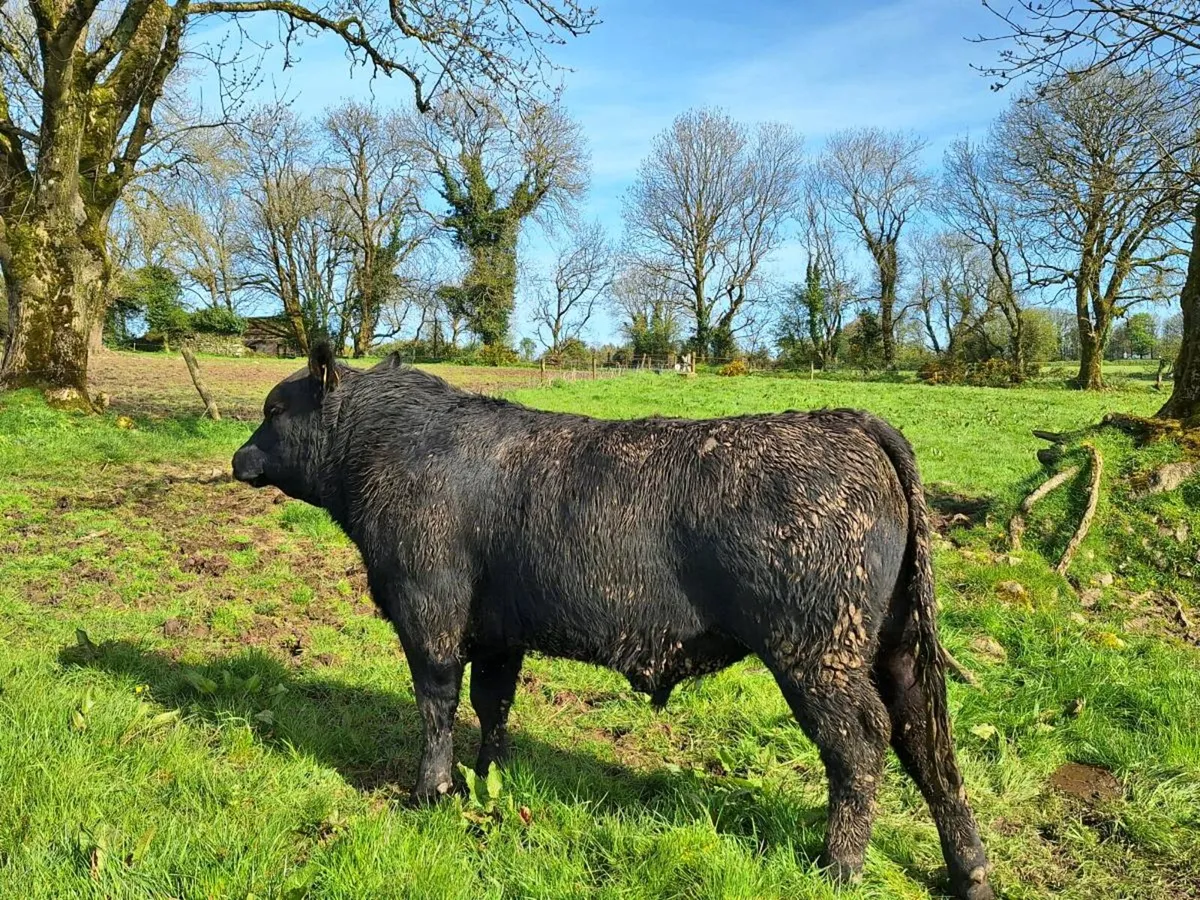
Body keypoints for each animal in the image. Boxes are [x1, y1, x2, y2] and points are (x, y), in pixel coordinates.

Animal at [232, 343, 993, 900]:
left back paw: (837, 868)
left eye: (273, 408)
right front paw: (490, 780)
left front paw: (430, 794)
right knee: (928, 740)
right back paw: (971, 873)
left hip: (815, 652)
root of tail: (843, 419)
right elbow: (492, 706)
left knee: (861, 744)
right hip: (893, 646)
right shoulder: (499, 632)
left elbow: (437, 704)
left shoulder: (429, 615)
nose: (239, 456)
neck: (390, 450)